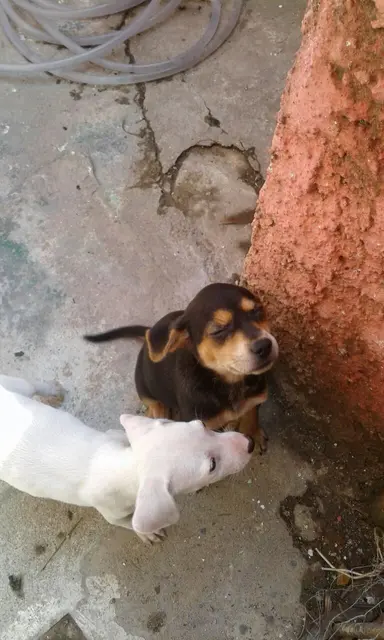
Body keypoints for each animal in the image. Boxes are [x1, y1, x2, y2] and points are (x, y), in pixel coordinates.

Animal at [0, 372, 255, 544]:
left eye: (202, 424)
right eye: (212, 465)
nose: (250, 443)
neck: (122, 465)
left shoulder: (115, 437)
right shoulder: (110, 512)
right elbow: (127, 524)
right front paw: (148, 533)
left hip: (15, 385)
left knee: (32, 384)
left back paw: (53, 390)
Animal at [84, 282, 278, 452]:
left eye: (257, 311)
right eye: (218, 331)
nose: (264, 346)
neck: (228, 382)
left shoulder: (255, 400)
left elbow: (251, 416)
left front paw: (253, 433)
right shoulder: (199, 425)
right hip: (145, 387)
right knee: (154, 405)